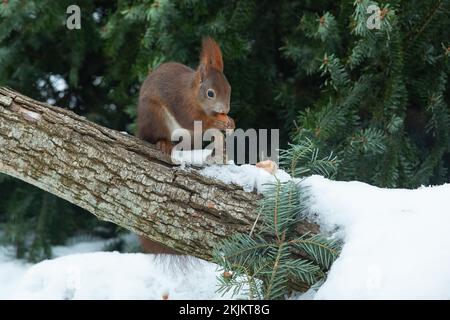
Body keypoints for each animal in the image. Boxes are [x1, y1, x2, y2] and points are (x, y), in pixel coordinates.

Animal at [136, 37, 236, 254]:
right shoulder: (181, 103)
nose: (225, 109)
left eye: (229, 89)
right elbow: (192, 119)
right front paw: (217, 122)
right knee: (156, 137)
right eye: (210, 93)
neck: (193, 93)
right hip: (156, 116)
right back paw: (163, 144)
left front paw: (230, 122)